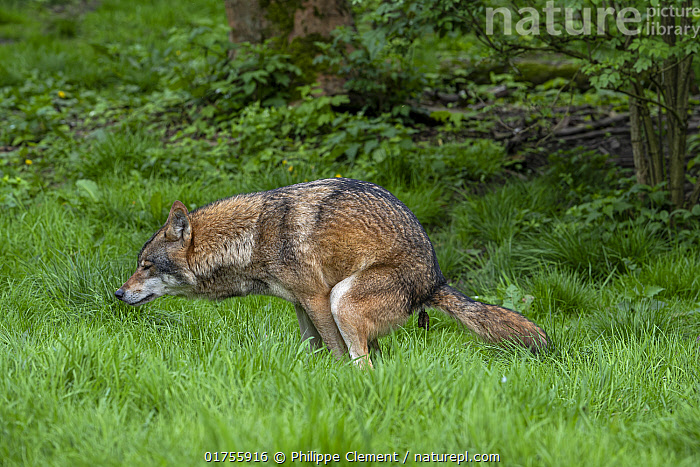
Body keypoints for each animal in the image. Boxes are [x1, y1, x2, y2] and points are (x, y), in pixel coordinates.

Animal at [115, 178, 547, 367]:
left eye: (146, 266)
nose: (119, 294)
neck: (251, 237)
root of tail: (435, 280)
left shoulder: (318, 299)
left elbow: (336, 354)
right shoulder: (300, 305)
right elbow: (313, 349)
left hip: (343, 300)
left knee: (365, 363)